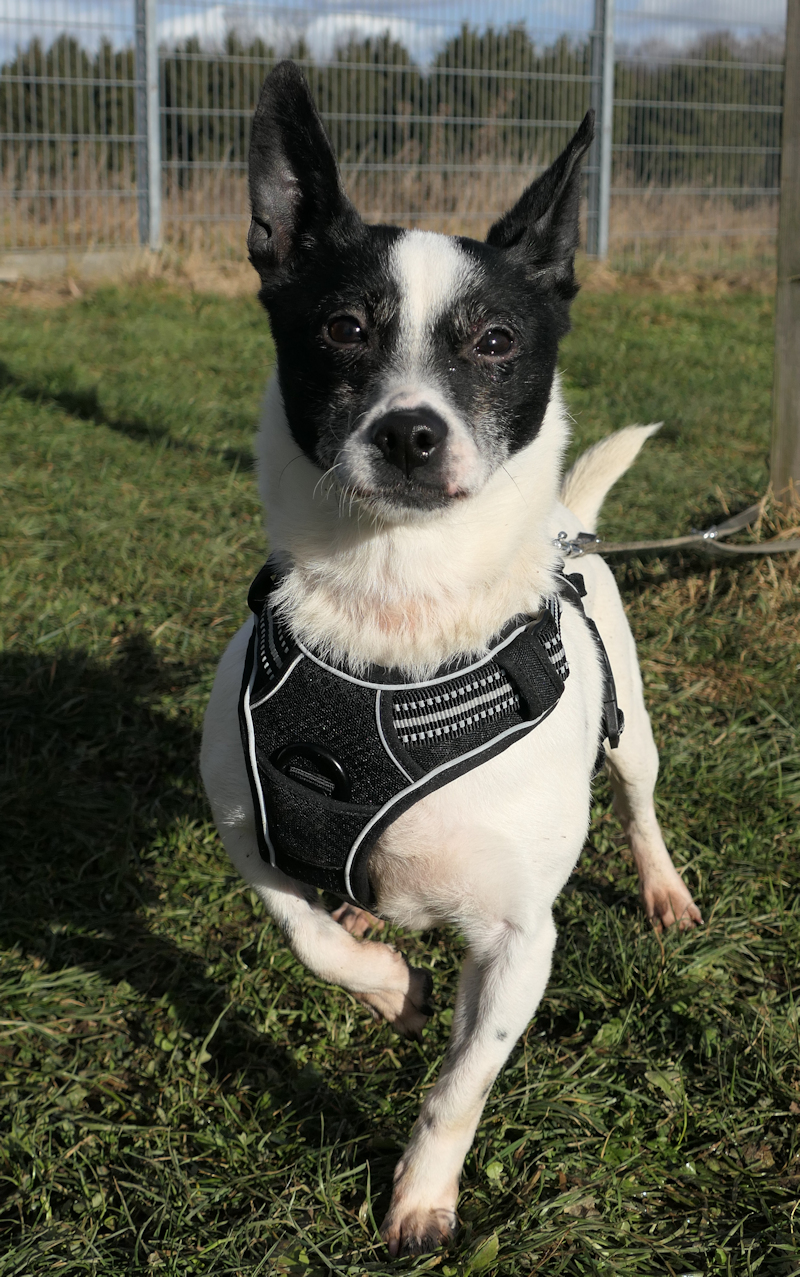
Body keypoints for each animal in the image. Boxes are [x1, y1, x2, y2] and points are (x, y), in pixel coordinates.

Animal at [200, 61, 702, 1257]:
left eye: (496, 343)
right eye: (342, 327)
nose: (410, 432)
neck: (396, 609)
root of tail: (573, 525)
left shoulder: (521, 942)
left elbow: (458, 1085)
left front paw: (421, 1195)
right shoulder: (246, 826)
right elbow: (303, 930)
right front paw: (387, 984)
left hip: (632, 736)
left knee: (641, 804)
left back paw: (662, 888)